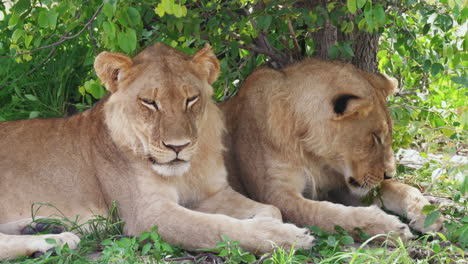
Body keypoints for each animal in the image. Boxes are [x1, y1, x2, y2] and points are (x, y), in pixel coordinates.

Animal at [0, 43, 314, 260]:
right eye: (149, 102)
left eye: (191, 99)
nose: (178, 147)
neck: (185, 172)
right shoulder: (147, 214)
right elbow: (214, 227)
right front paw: (286, 237)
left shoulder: (211, 193)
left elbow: (270, 208)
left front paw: (265, 220)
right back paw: (56, 240)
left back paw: (42, 228)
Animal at [221, 59, 444, 239]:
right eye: (375, 137)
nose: (388, 174)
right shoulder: (275, 194)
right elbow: (327, 214)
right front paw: (387, 227)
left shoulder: (342, 185)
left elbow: (403, 188)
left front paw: (428, 214)